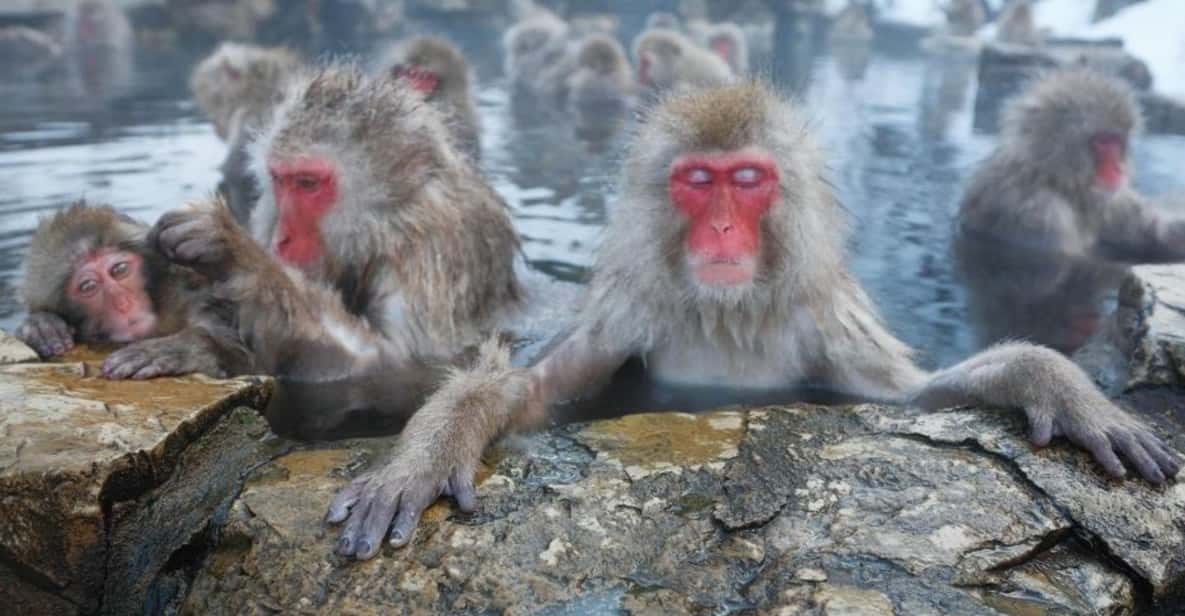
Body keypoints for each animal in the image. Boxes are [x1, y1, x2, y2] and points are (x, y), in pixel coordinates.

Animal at [14, 201, 253, 380]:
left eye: (119, 269)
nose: (123, 303)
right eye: (88, 286)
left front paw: (182, 350)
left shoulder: (199, 304)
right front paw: (41, 326)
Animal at [148, 65, 523, 440]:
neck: (384, 223)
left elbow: (392, 364)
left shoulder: (429, 255)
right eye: (280, 179)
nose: (281, 239)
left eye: (308, 183)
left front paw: (236, 252)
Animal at [956, 69, 1185, 354]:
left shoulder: (1108, 200)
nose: (1119, 169)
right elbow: (1067, 263)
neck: (1054, 179)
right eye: (1101, 142)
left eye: (1117, 141)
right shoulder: (1040, 213)